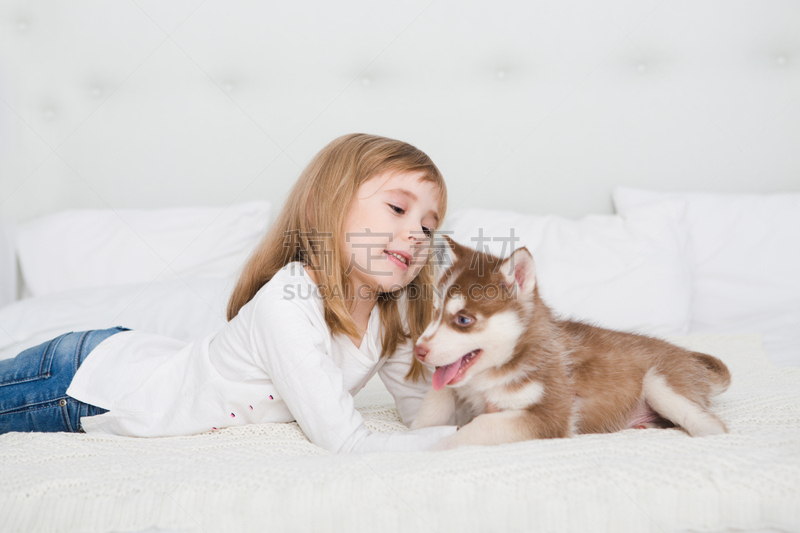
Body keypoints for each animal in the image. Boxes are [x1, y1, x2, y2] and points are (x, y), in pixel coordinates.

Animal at [412, 237, 732, 448]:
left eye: (463, 320)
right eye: (435, 313)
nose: (419, 351)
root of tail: (689, 357)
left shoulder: (552, 414)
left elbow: (476, 428)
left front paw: (430, 448)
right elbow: (436, 400)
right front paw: (420, 427)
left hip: (660, 381)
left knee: (711, 424)